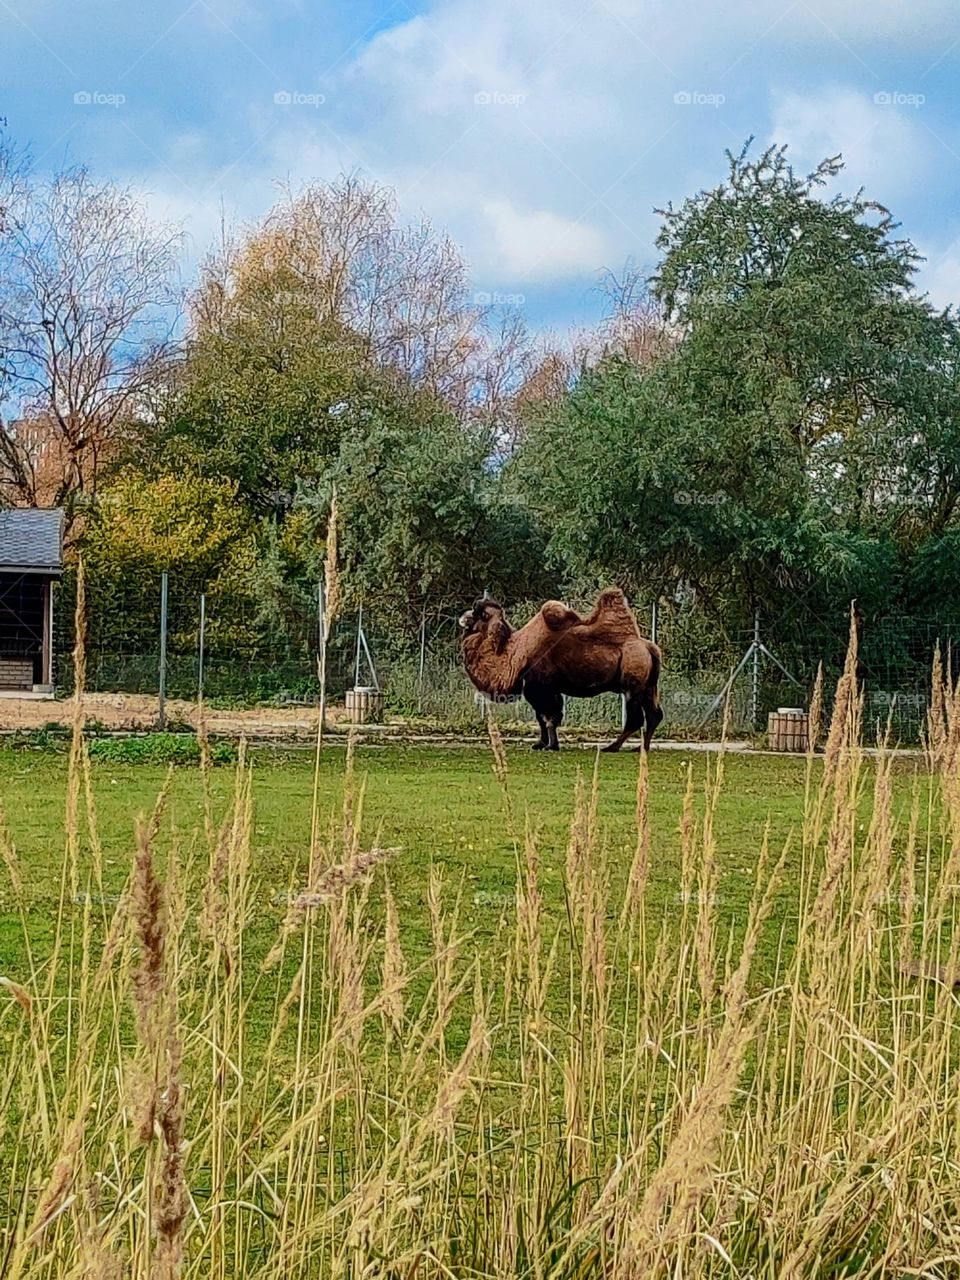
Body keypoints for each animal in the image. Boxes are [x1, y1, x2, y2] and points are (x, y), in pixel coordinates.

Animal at [459, 588, 663, 752]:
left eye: (480, 614)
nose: (463, 618)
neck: (515, 655)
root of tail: (650, 649)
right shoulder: (546, 689)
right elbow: (543, 717)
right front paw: (541, 744)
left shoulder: (540, 687)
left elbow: (548, 717)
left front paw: (552, 745)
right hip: (648, 686)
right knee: (654, 715)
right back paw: (641, 747)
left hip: (632, 685)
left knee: (636, 719)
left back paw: (612, 747)